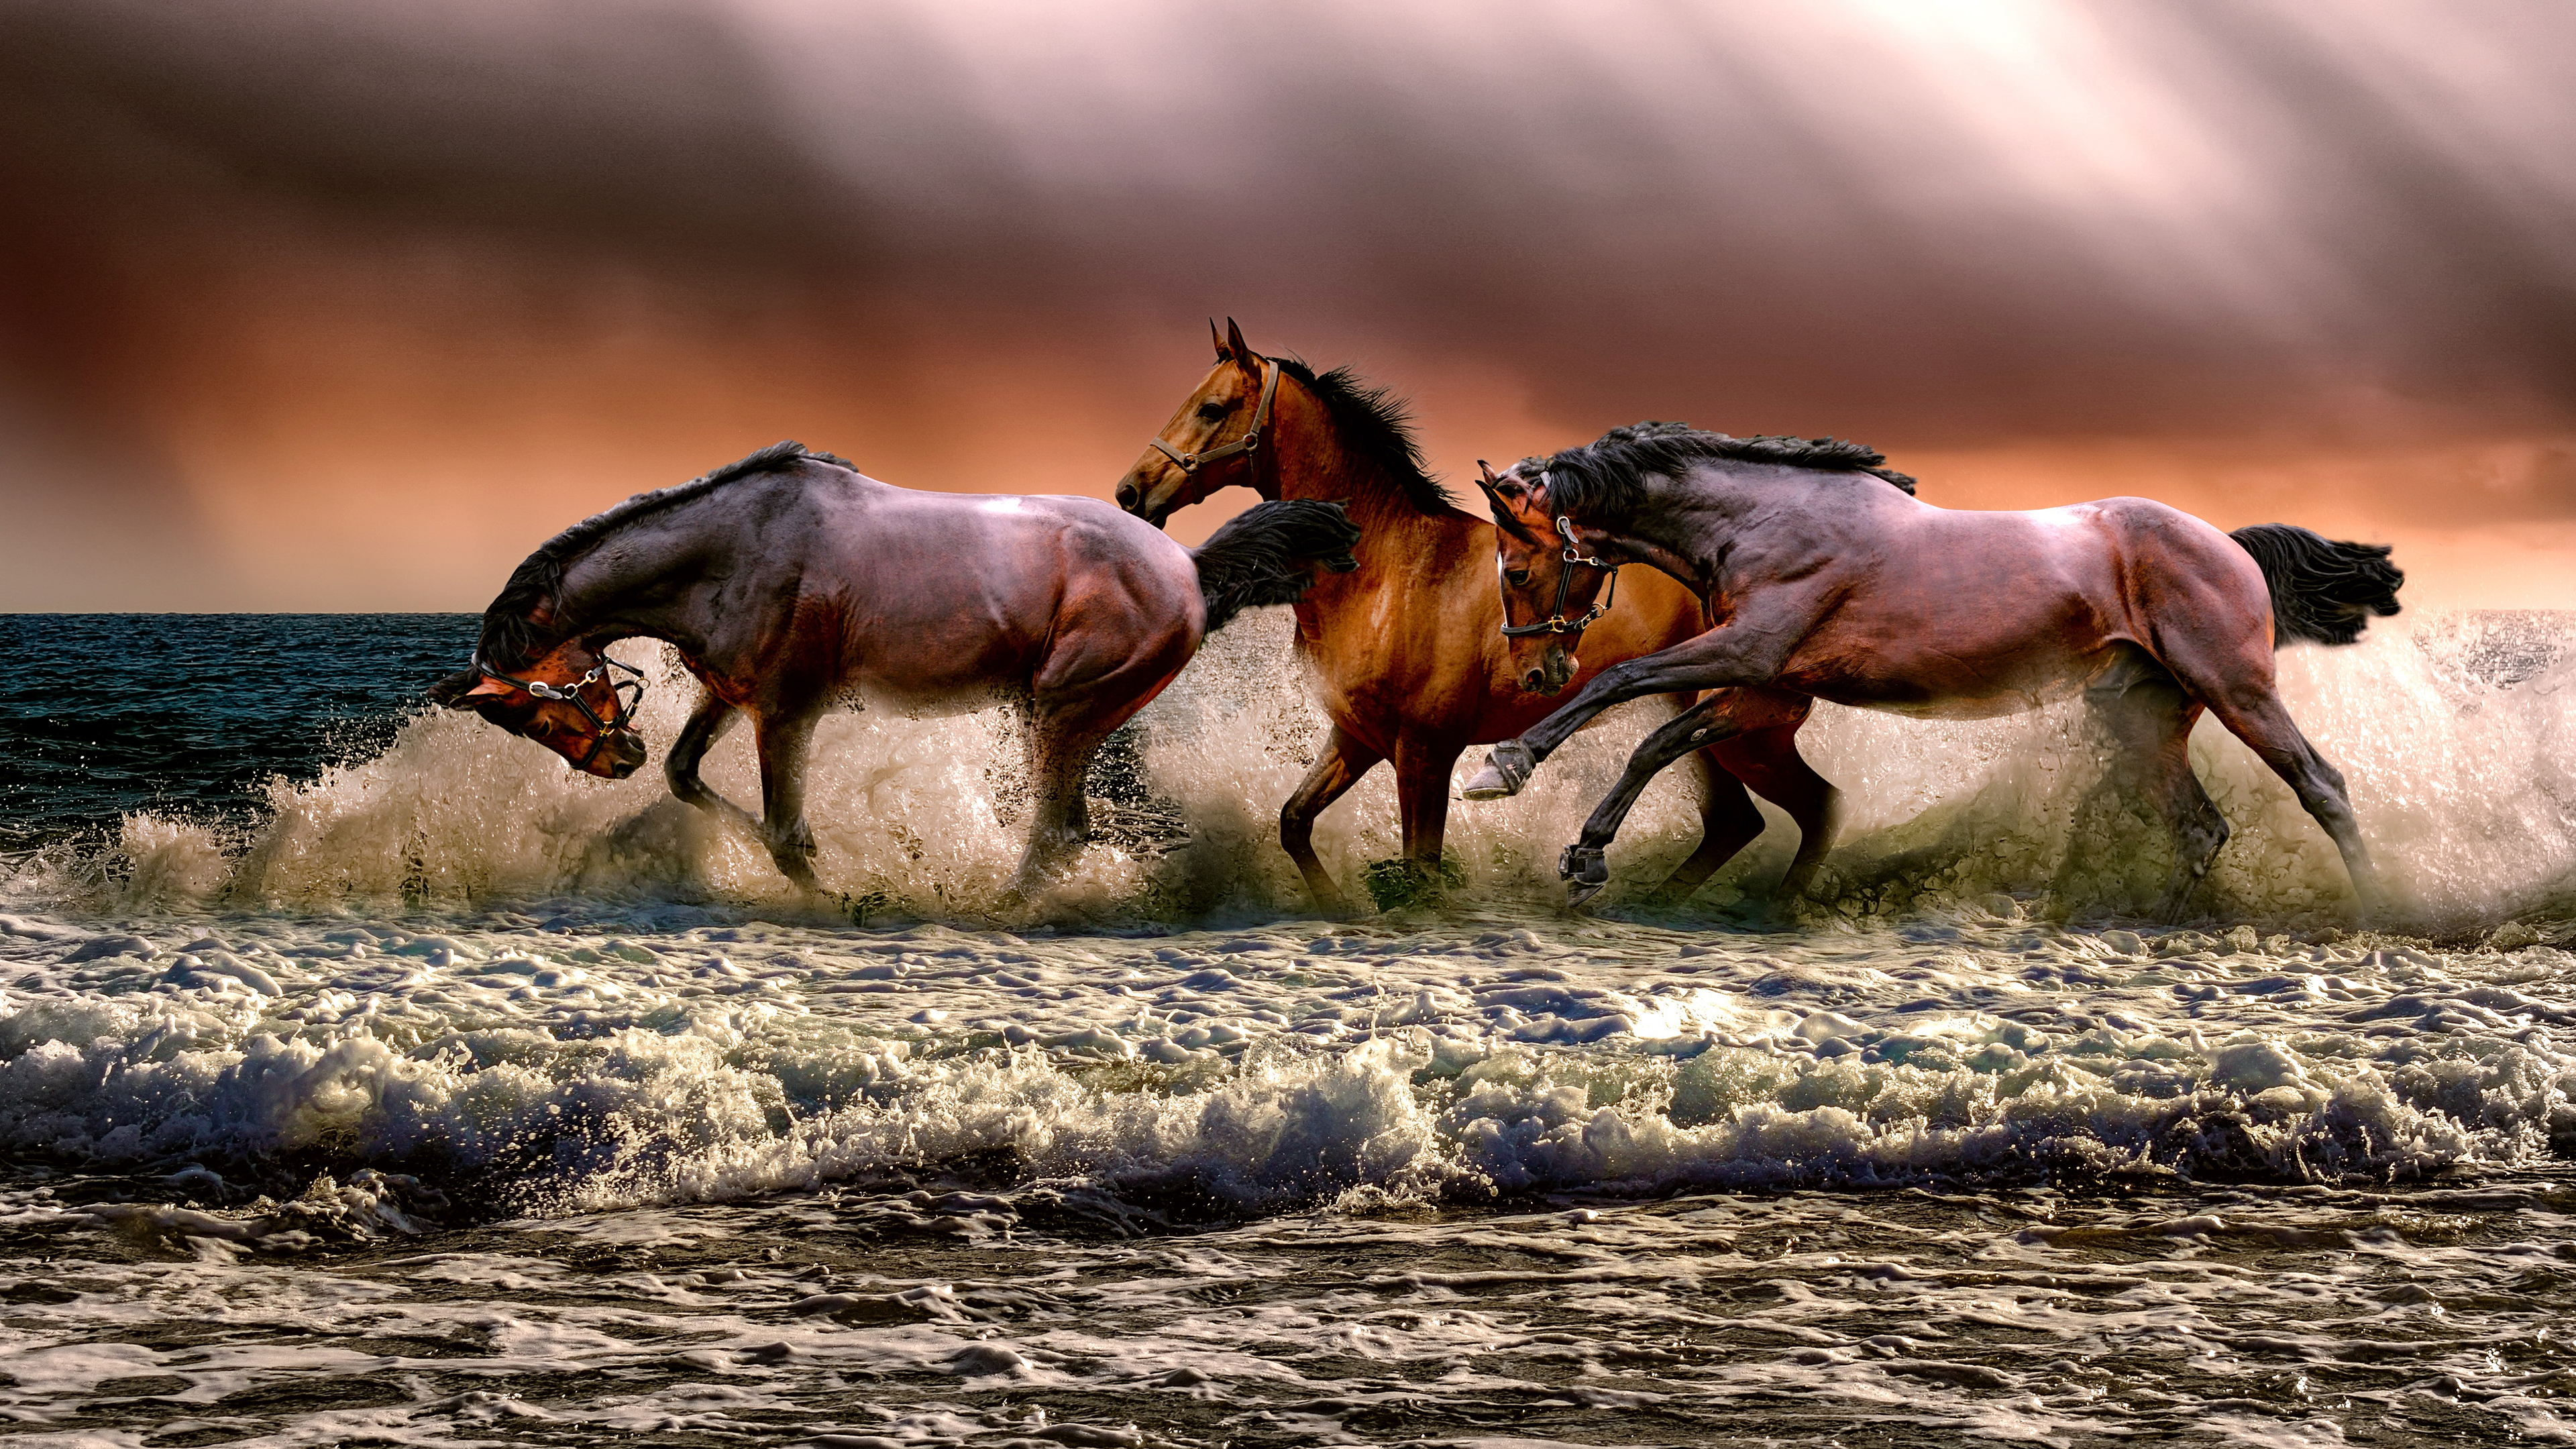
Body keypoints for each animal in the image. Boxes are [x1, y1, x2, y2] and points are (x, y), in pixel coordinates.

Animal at [428, 440, 1360, 902]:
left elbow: (785, 834)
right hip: (1060, 719)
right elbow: (688, 775)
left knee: (1055, 834)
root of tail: (1191, 569)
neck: (730, 551)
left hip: (1063, 711)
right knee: (1068, 831)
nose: (614, 759)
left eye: (535, 703)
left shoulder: (788, 711)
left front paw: (837, 896)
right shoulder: (729, 695)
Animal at [1115, 320, 1841, 916]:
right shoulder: (1357, 739)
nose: (1131, 492)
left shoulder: (1425, 752)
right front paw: (1337, 910)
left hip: (1742, 733)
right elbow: (1295, 822)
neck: (1390, 574)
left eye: (1211, 408)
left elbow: (1420, 870)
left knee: (1805, 811)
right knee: (1742, 822)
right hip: (1714, 734)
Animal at [1461, 423, 2404, 919]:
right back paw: (2149, 928)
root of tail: (2228, 544)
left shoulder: (1750, 654)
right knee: (2200, 827)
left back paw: (2381, 906)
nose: (1538, 666)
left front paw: (1503, 768)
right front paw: (1586, 853)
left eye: (1517, 568)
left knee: (2322, 785)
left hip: (2235, 690)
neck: (1763, 521)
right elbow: (1657, 742)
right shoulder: (1766, 689)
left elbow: (1620, 688)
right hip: (2142, 718)